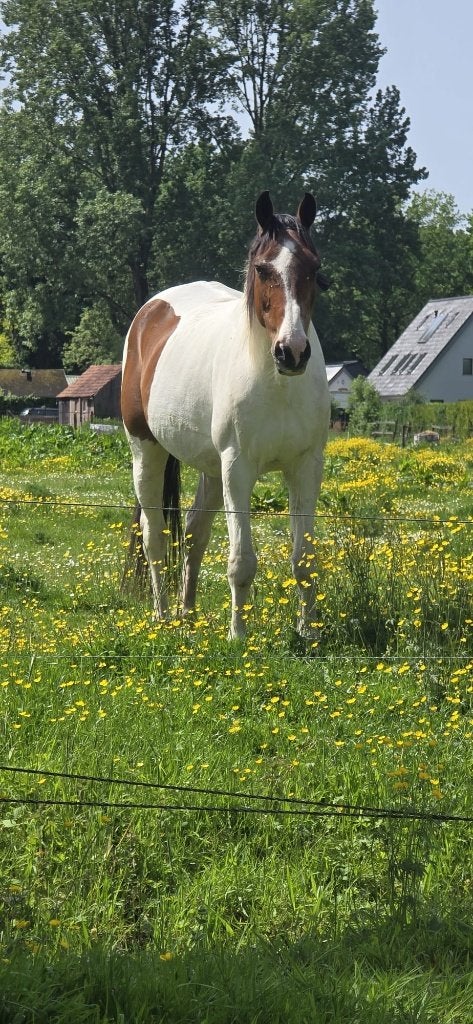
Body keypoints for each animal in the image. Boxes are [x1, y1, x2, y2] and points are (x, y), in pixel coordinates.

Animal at [121, 190, 330, 639]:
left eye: (314, 267)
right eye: (263, 269)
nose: (292, 352)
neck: (277, 383)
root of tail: (149, 313)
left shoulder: (306, 466)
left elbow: (304, 560)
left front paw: (308, 633)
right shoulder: (239, 467)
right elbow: (241, 561)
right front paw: (239, 636)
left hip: (211, 469)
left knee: (194, 534)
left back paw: (188, 613)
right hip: (146, 451)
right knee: (155, 537)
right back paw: (162, 615)